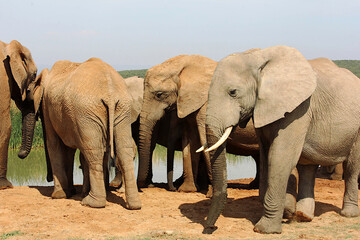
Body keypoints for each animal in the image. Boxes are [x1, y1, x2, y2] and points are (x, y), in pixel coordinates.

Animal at [26, 57, 141, 209]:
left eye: (29, 95)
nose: (48, 178)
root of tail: (110, 92)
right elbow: (68, 149)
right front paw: (69, 192)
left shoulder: (47, 105)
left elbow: (54, 144)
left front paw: (59, 195)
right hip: (123, 108)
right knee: (124, 150)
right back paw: (133, 205)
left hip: (86, 112)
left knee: (93, 151)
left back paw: (90, 202)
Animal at [136, 54, 260, 193]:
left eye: (159, 94)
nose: (173, 189)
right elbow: (190, 140)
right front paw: (187, 190)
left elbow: (204, 139)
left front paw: (210, 193)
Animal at [201, 45, 360, 234]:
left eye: (232, 92)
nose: (209, 228)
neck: (258, 57)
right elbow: (266, 156)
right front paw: (287, 211)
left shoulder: (299, 109)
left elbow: (279, 158)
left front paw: (265, 229)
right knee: (307, 167)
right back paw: (302, 216)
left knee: (351, 167)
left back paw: (347, 214)